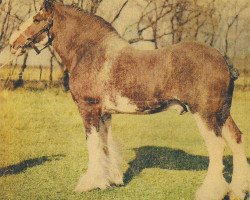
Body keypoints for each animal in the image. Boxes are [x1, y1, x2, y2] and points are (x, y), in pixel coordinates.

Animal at [8, 0, 249, 199]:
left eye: (36, 19)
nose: (12, 43)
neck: (91, 53)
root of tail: (223, 58)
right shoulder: (105, 114)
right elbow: (105, 144)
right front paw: (111, 180)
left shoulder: (88, 109)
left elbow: (93, 145)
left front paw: (88, 184)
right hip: (222, 112)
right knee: (235, 139)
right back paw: (237, 190)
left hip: (205, 113)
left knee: (217, 146)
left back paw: (210, 192)